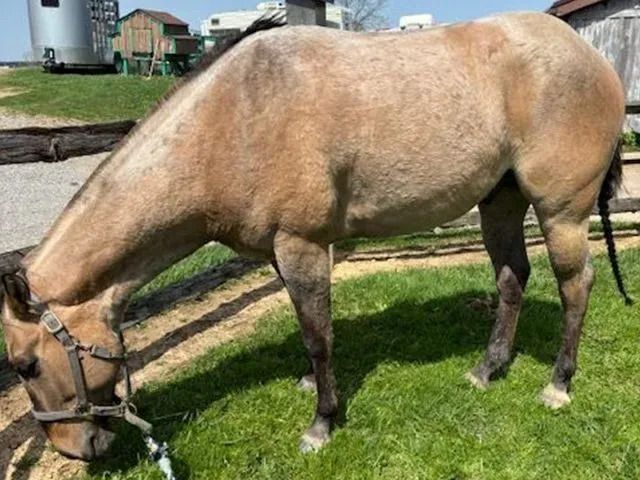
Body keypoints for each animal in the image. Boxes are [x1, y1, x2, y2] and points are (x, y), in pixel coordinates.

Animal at [1, 12, 630, 461]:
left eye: (26, 366)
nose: (76, 451)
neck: (232, 121)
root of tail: (595, 59)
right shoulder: (281, 253)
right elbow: (310, 329)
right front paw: (312, 388)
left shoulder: (301, 244)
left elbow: (317, 334)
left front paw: (322, 423)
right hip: (500, 201)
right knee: (511, 278)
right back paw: (487, 369)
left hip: (561, 212)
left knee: (576, 286)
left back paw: (558, 384)